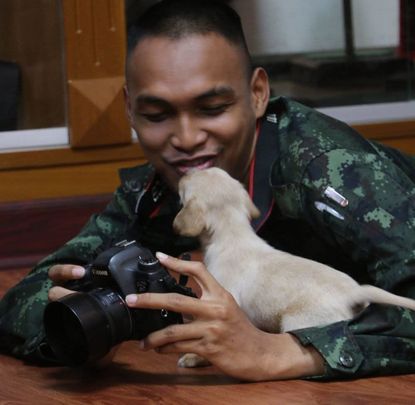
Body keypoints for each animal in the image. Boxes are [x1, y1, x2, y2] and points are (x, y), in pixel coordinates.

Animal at [173, 167, 415, 367]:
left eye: (188, 182)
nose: (182, 174)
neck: (232, 232)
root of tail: (355, 291)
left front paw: (193, 357)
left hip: (299, 322)